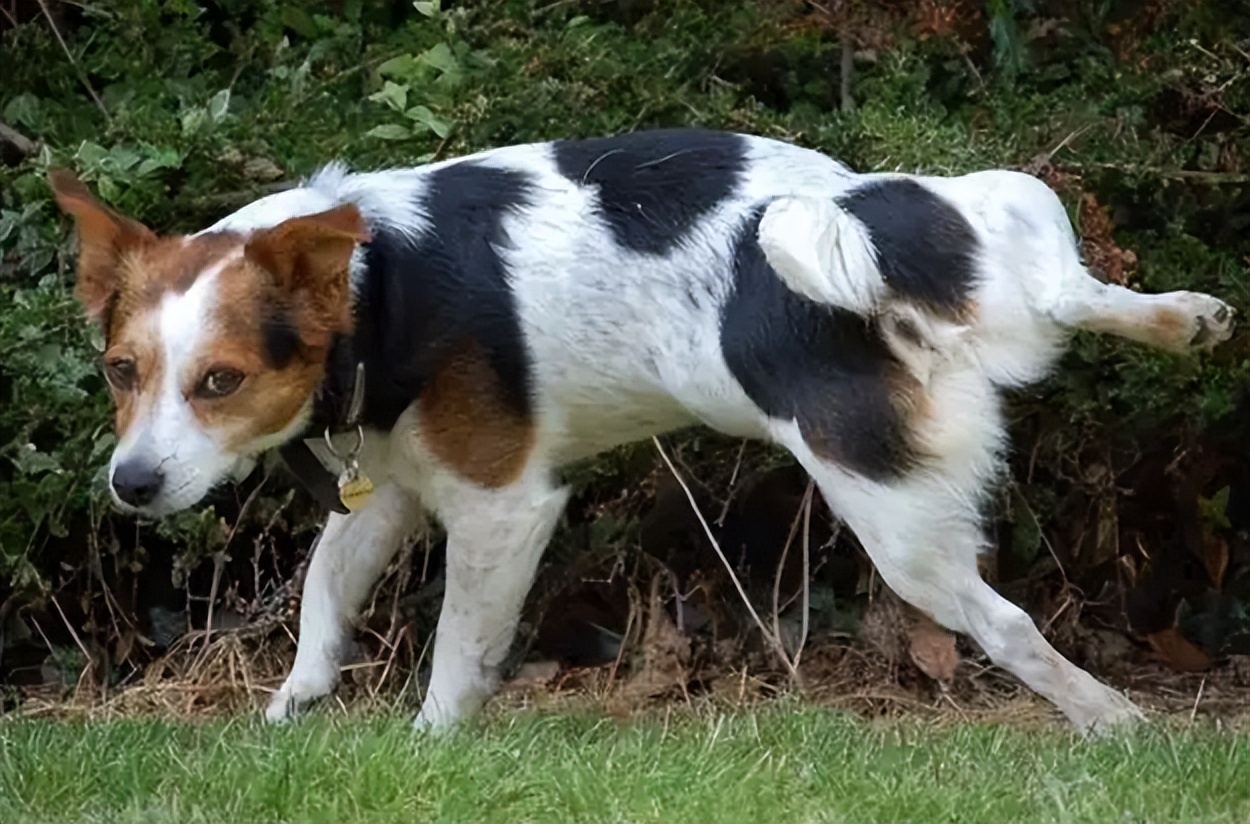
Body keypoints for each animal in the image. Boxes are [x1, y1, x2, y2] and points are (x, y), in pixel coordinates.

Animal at [51, 128, 1230, 735]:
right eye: (120, 372)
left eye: (220, 380)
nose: (130, 485)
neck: (372, 281)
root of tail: (861, 227)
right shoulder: (390, 484)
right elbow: (325, 585)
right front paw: (293, 703)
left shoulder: (502, 503)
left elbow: (457, 641)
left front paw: (430, 742)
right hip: (995, 230)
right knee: (1068, 291)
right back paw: (1181, 317)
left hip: (895, 523)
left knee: (1007, 622)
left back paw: (1110, 716)